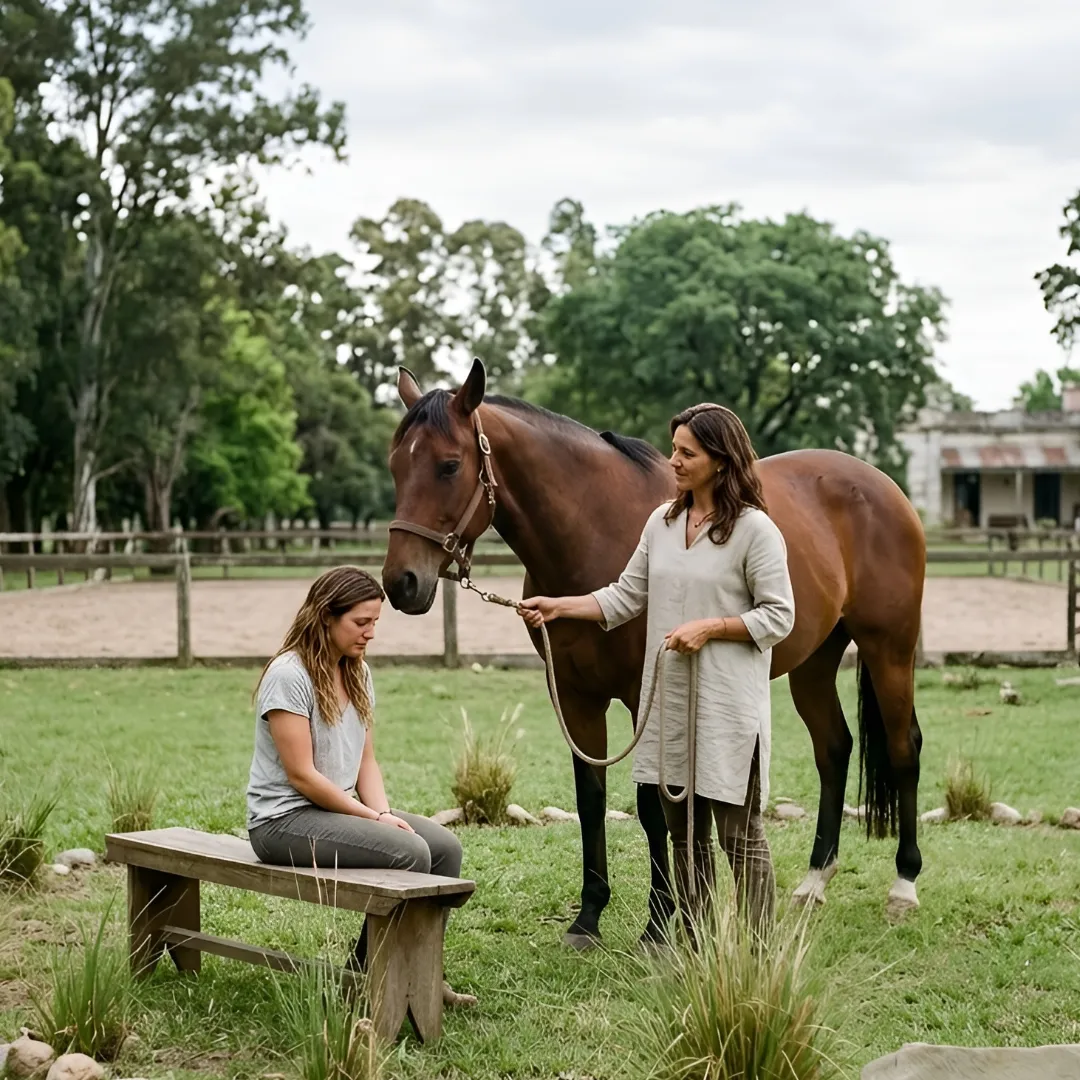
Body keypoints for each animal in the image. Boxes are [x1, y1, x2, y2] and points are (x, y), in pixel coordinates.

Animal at [381, 358, 926, 948]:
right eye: (395, 465)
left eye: (449, 465)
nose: (401, 583)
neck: (595, 528)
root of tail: (882, 486)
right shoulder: (577, 696)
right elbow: (591, 799)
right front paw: (589, 916)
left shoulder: (642, 692)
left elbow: (651, 808)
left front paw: (659, 922)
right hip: (814, 663)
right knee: (834, 748)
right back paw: (813, 882)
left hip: (889, 650)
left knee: (904, 749)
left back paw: (904, 886)